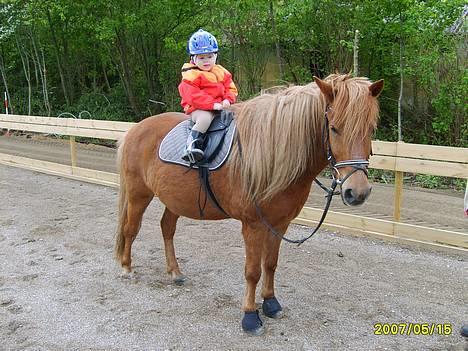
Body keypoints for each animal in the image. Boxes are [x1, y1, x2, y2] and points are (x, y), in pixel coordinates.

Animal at [115, 74, 382, 336]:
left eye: (371, 129)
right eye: (334, 129)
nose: (357, 192)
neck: (271, 158)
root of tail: (136, 129)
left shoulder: (280, 224)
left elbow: (270, 264)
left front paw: (271, 303)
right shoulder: (253, 225)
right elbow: (253, 271)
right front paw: (250, 316)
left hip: (175, 200)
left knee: (167, 228)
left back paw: (175, 272)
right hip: (139, 194)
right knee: (131, 229)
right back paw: (127, 268)